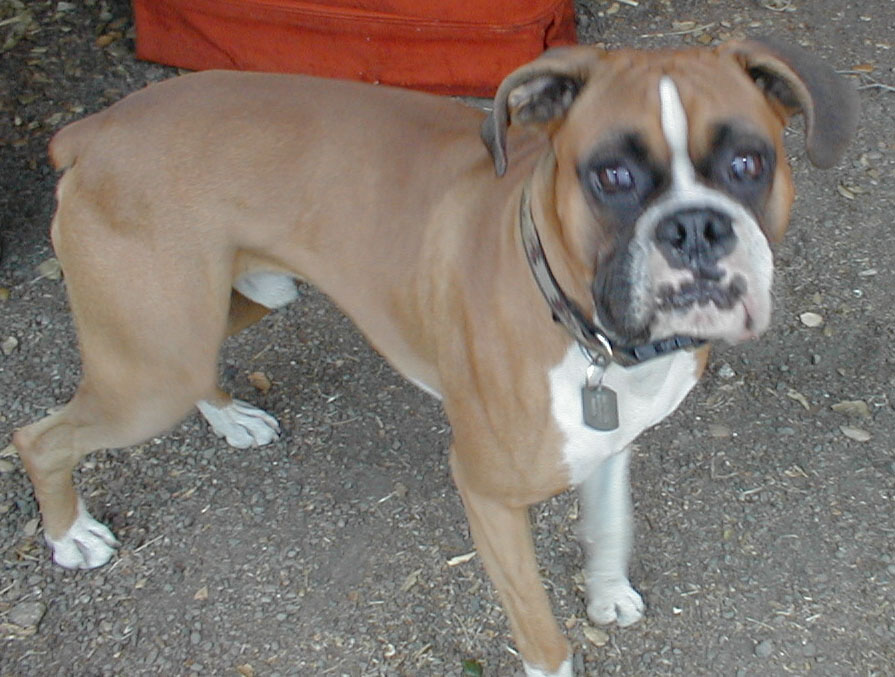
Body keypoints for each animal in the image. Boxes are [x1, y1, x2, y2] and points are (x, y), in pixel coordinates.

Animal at [13, 38, 857, 676]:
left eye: (747, 163)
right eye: (611, 175)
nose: (694, 228)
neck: (593, 333)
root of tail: (94, 130)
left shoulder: (612, 439)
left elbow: (608, 523)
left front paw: (606, 593)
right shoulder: (488, 495)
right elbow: (540, 631)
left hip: (223, 308)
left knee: (199, 364)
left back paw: (231, 419)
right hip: (148, 369)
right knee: (39, 436)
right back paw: (71, 535)